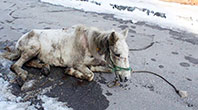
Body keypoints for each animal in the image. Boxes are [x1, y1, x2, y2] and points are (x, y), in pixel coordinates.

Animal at [3, 24, 131, 85]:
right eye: (117, 54)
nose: (126, 78)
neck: (89, 44)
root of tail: (19, 41)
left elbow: (107, 68)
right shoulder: (77, 63)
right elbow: (90, 75)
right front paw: (71, 71)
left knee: (29, 62)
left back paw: (45, 68)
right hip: (33, 49)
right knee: (16, 65)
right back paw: (23, 75)